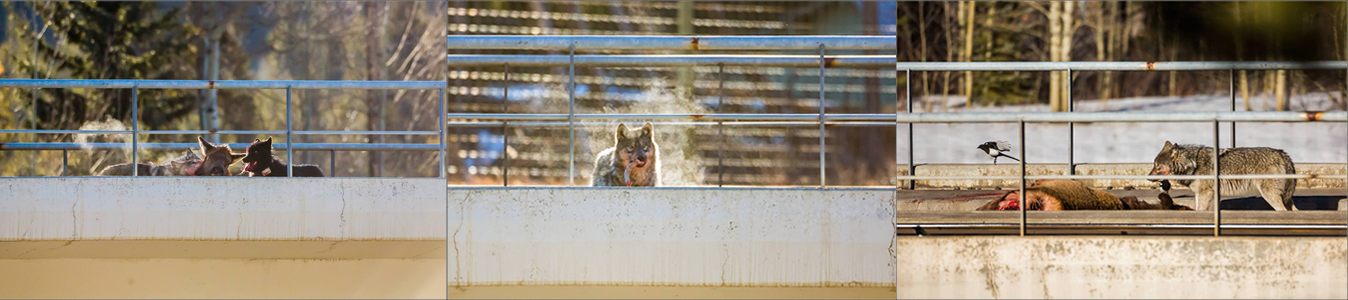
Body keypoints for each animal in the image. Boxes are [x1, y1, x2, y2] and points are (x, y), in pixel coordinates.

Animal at [1148, 140, 1294, 211]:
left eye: (1157, 166)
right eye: (1154, 164)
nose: (1148, 177)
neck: (1193, 165)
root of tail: (1282, 153)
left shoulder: (1205, 194)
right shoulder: (1205, 195)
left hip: (1270, 196)